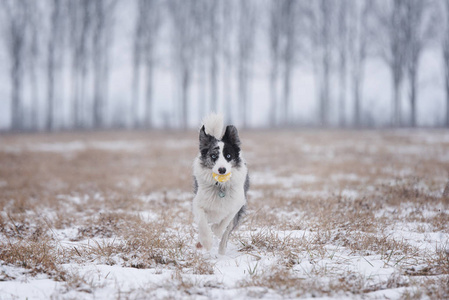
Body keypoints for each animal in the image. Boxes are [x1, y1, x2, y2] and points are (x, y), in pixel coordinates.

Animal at [192, 113, 248, 254]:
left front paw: (216, 230)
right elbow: (202, 222)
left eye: (228, 156)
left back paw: (221, 252)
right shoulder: (198, 203)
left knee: (226, 233)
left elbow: (225, 221)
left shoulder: (237, 203)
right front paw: (206, 242)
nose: (222, 170)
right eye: (213, 156)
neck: (220, 186)